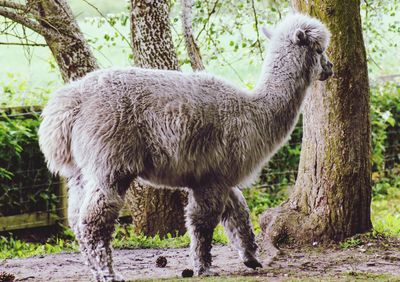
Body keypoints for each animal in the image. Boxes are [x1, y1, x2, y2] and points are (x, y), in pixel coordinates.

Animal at [38, 12, 332, 282]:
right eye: (319, 50)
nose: (329, 68)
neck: (254, 112)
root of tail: (68, 104)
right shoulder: (212, 177)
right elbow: (203, 222)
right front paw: (203, 267)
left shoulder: (220, 175)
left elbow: (238, 213)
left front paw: (251, 257)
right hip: (110, 160)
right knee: (93, 220)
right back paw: (109, 274)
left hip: (81, 169)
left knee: (76, 218)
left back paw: (96, 270)